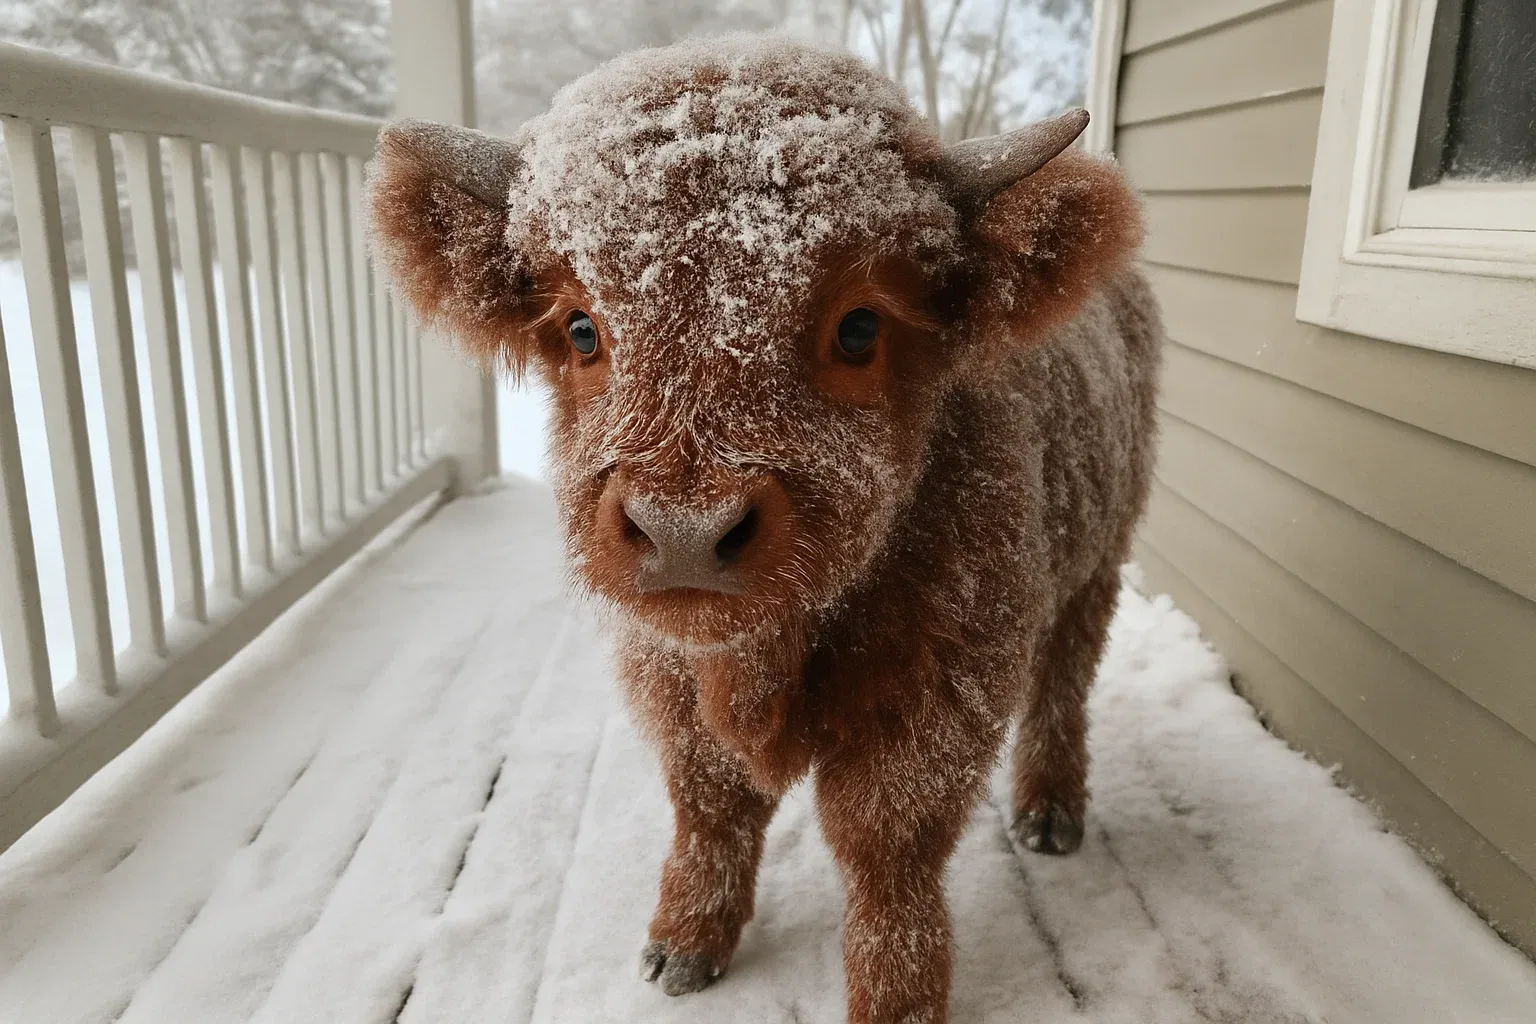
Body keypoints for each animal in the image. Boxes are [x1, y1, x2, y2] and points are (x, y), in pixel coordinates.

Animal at [367, 34, 1161, 1024]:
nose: (683, 529)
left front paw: (897, 1002)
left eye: (859, 326)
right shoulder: (670, 676)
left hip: (1100, 562)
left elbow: (888, 853)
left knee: (1064, 681)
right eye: (582, 329)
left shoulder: (939, 693)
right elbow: (711, 804)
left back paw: (1051, 813)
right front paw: (684, 944)